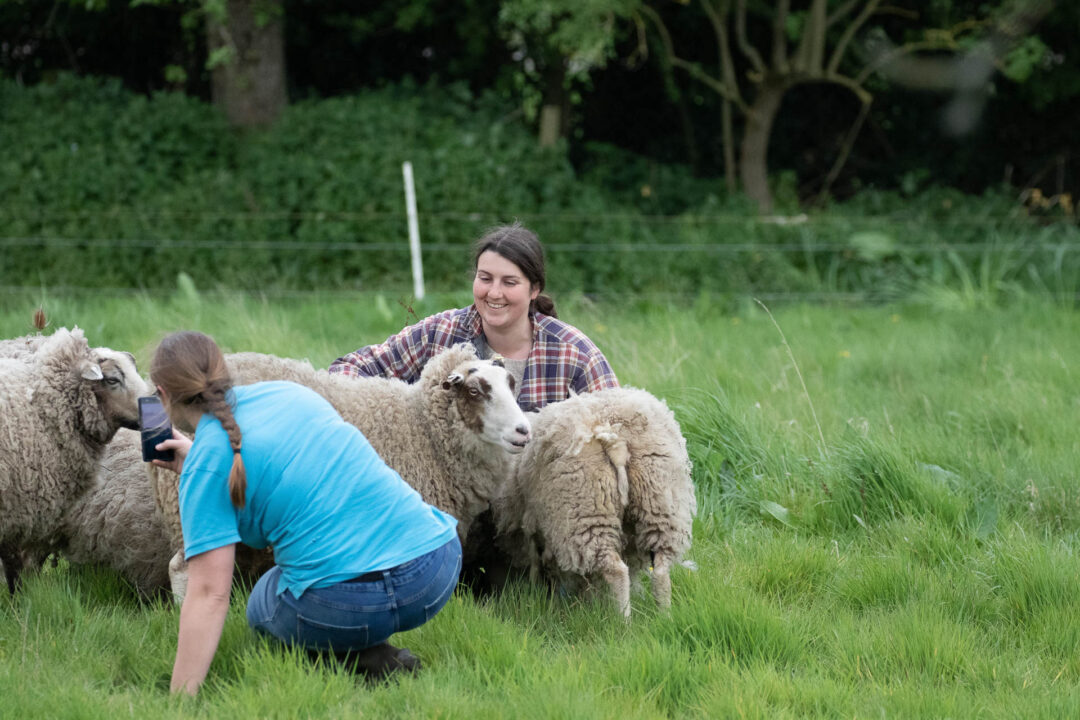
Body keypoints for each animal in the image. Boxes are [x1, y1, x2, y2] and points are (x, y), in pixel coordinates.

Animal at [494, 388, 695, 621]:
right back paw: (664, 616)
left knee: (615, 570)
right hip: (659, 501)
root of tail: (614, 437)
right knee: (661, 568)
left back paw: (623, 622)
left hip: (585, 510)